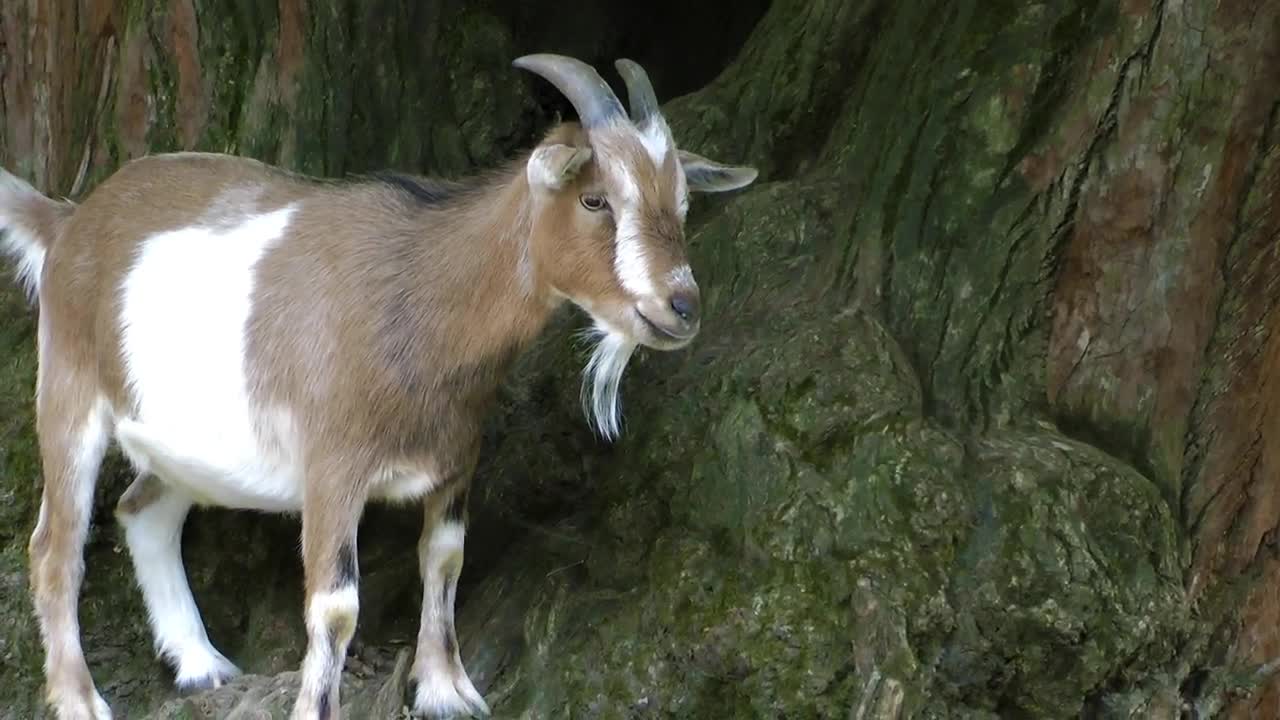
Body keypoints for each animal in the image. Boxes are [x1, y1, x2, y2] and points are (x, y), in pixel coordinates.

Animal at [0, 54, 756, 720]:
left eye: (682, 203)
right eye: (596, 198)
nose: (680, 307)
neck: (420, 296)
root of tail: (70, 222)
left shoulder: (455, 457)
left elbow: (445, 558)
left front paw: (446, 689)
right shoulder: (333, 467)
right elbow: (336, 607)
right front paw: (319, 707)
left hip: (184, 443)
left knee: (143, 511)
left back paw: (199, 663)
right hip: (68, 392)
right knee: (55, 548)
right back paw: (80, 699)